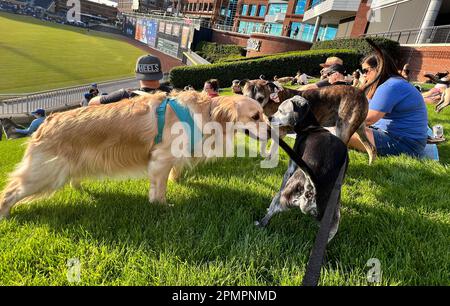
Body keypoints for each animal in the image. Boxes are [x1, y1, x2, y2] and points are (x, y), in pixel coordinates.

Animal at [256, 95, 348, 241]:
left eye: (281, 111)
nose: (269, 118)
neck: (311, 127)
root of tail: (313, 189)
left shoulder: (290, 169)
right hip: (332, 220)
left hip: (284, 196)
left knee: (272, 208)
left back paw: (260, 224)